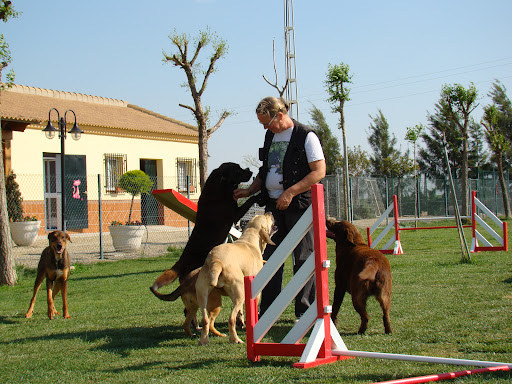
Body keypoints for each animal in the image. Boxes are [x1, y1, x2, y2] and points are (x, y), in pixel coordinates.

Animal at [150, 162, 258, 300]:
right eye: (237, 171)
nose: (250, 171)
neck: (220, 187)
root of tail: (181, 262)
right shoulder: (236, 214)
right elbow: (250, 200)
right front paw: (259, 196)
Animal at [196, 213, 276, 344]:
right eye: (266, 218)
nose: (269, 212)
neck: (250, 237)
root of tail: (216, 262)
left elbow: (240, 310)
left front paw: (241, 321)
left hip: (202, 294)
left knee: (205, 320)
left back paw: (203, 340)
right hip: (240, 292)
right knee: (231, 319)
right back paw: (235, 339)